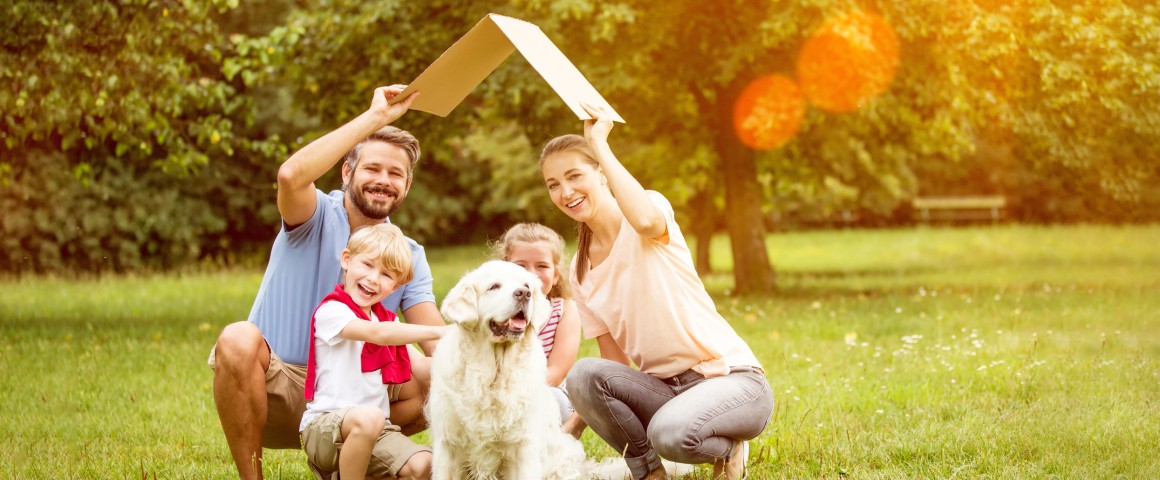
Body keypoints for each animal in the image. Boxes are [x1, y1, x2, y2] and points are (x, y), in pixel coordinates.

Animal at [424, 262, 589, 479]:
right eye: (494, 286)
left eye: (527, 285)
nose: (524, 294)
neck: (493, 375)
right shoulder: (447, 445)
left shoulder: (524, 446)